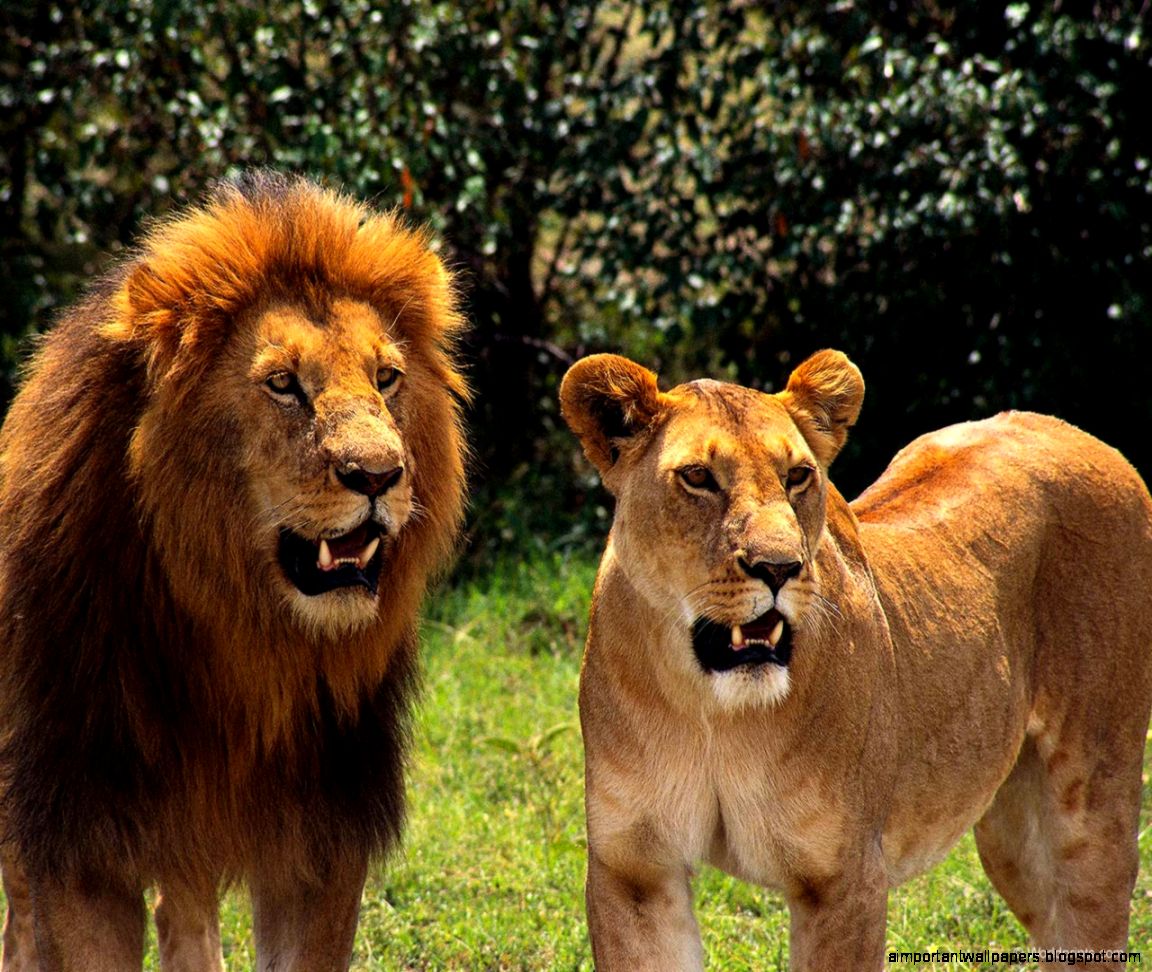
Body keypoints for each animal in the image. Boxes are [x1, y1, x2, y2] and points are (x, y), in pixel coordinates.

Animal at [0, 172, 468, 971]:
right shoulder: (79, 832)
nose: (379, 475)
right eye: (282, 384)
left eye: (387, 378)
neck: (242, 644)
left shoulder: (322, 842)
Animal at [560, 351, 1152, 971]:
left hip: (1094, 801)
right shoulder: (635, 873)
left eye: (798, 476)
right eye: (698, 477)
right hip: (1012, 835)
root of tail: (1078, 434)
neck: (714, 713)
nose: (779, 568)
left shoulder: (843, 878)